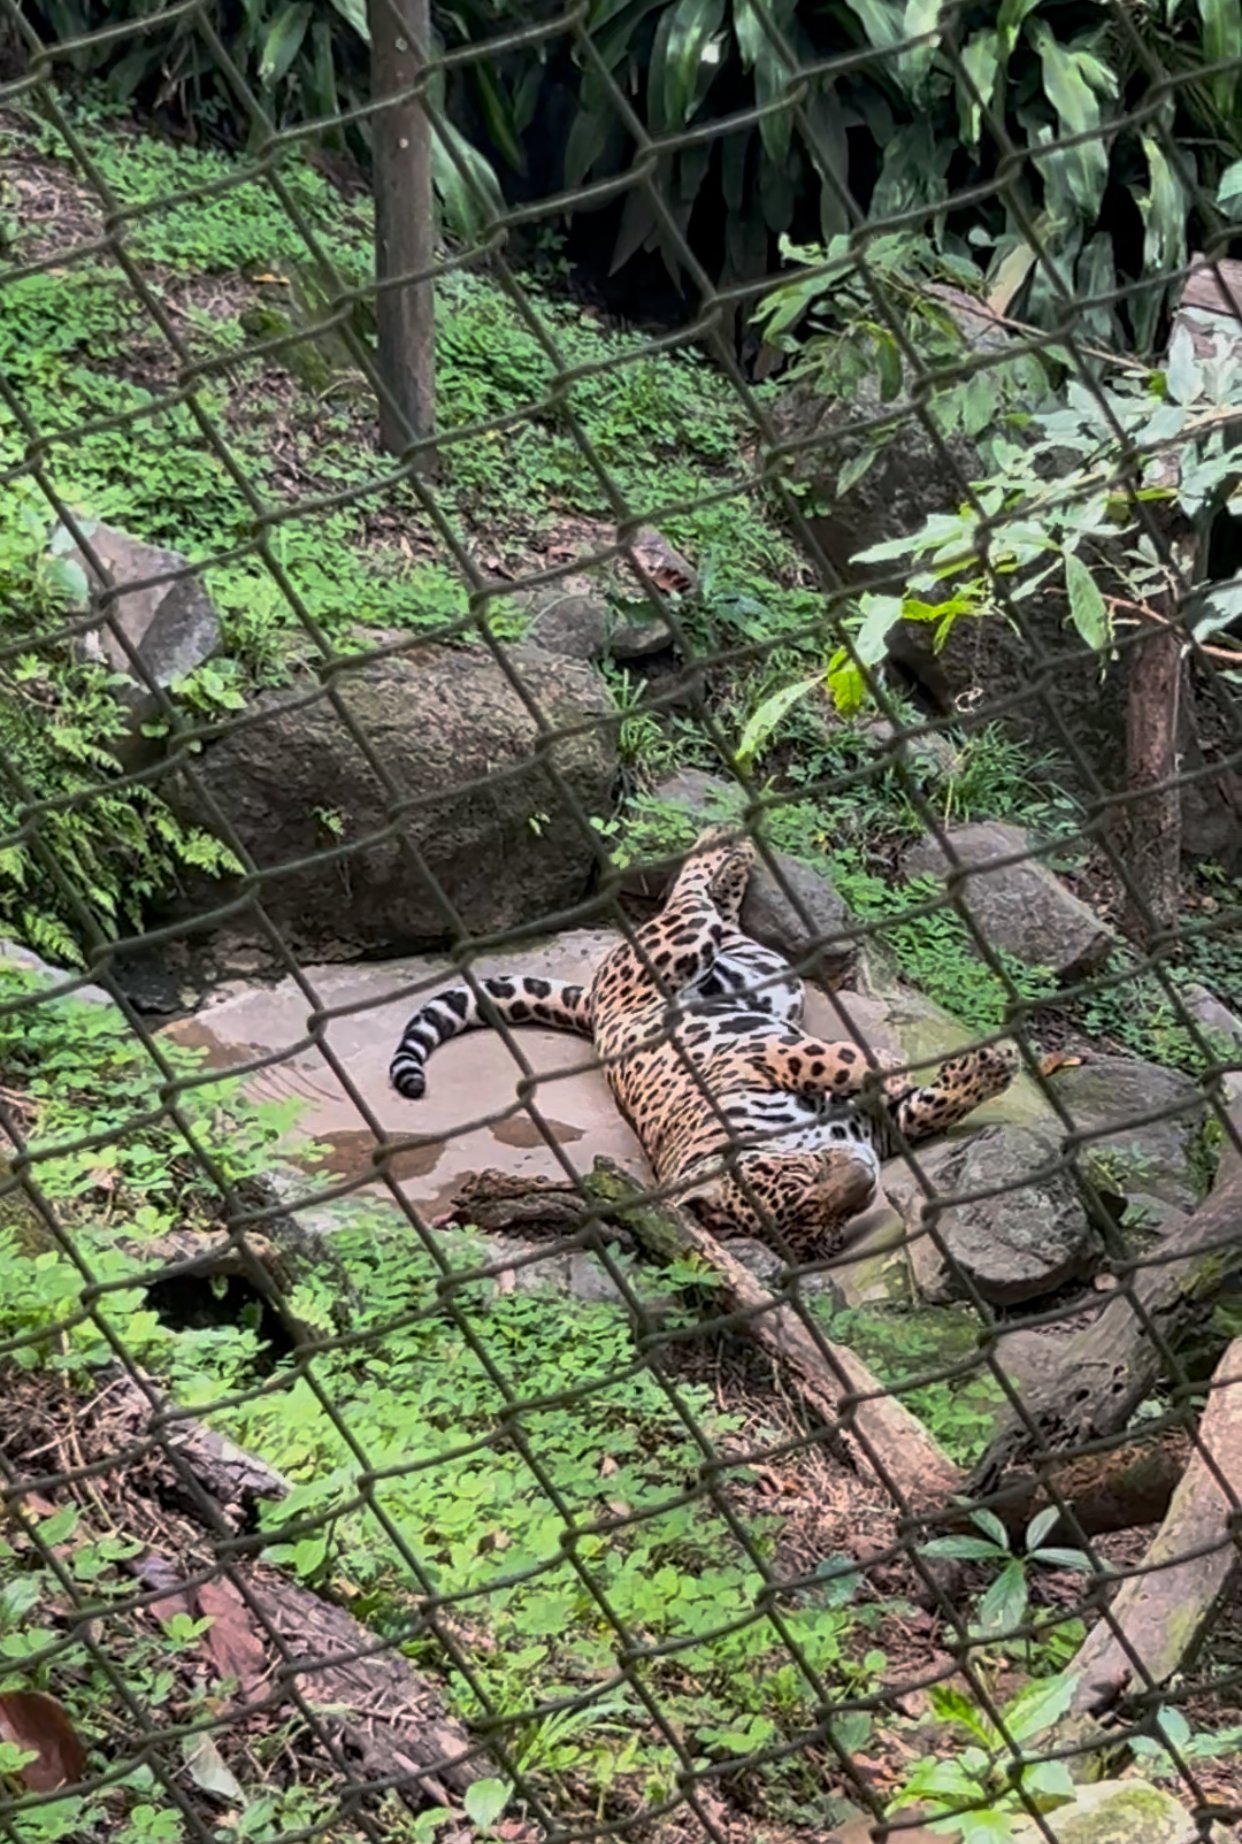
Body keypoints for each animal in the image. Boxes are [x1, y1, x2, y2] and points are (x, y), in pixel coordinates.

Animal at [389, 827, 1019, 1257]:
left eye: (802, 1178)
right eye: (822, 1231)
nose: (864, 1182)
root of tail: (593, 1003)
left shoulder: (761, 1057)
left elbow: (836, 1062)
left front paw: (941, 1065)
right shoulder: (871, 1127)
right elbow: (907, 1099)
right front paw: (935, 1067)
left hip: (702, 957)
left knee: (692, 899)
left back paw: (725, 846)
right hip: (742, 970)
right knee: (703, 908)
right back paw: (731, 852)